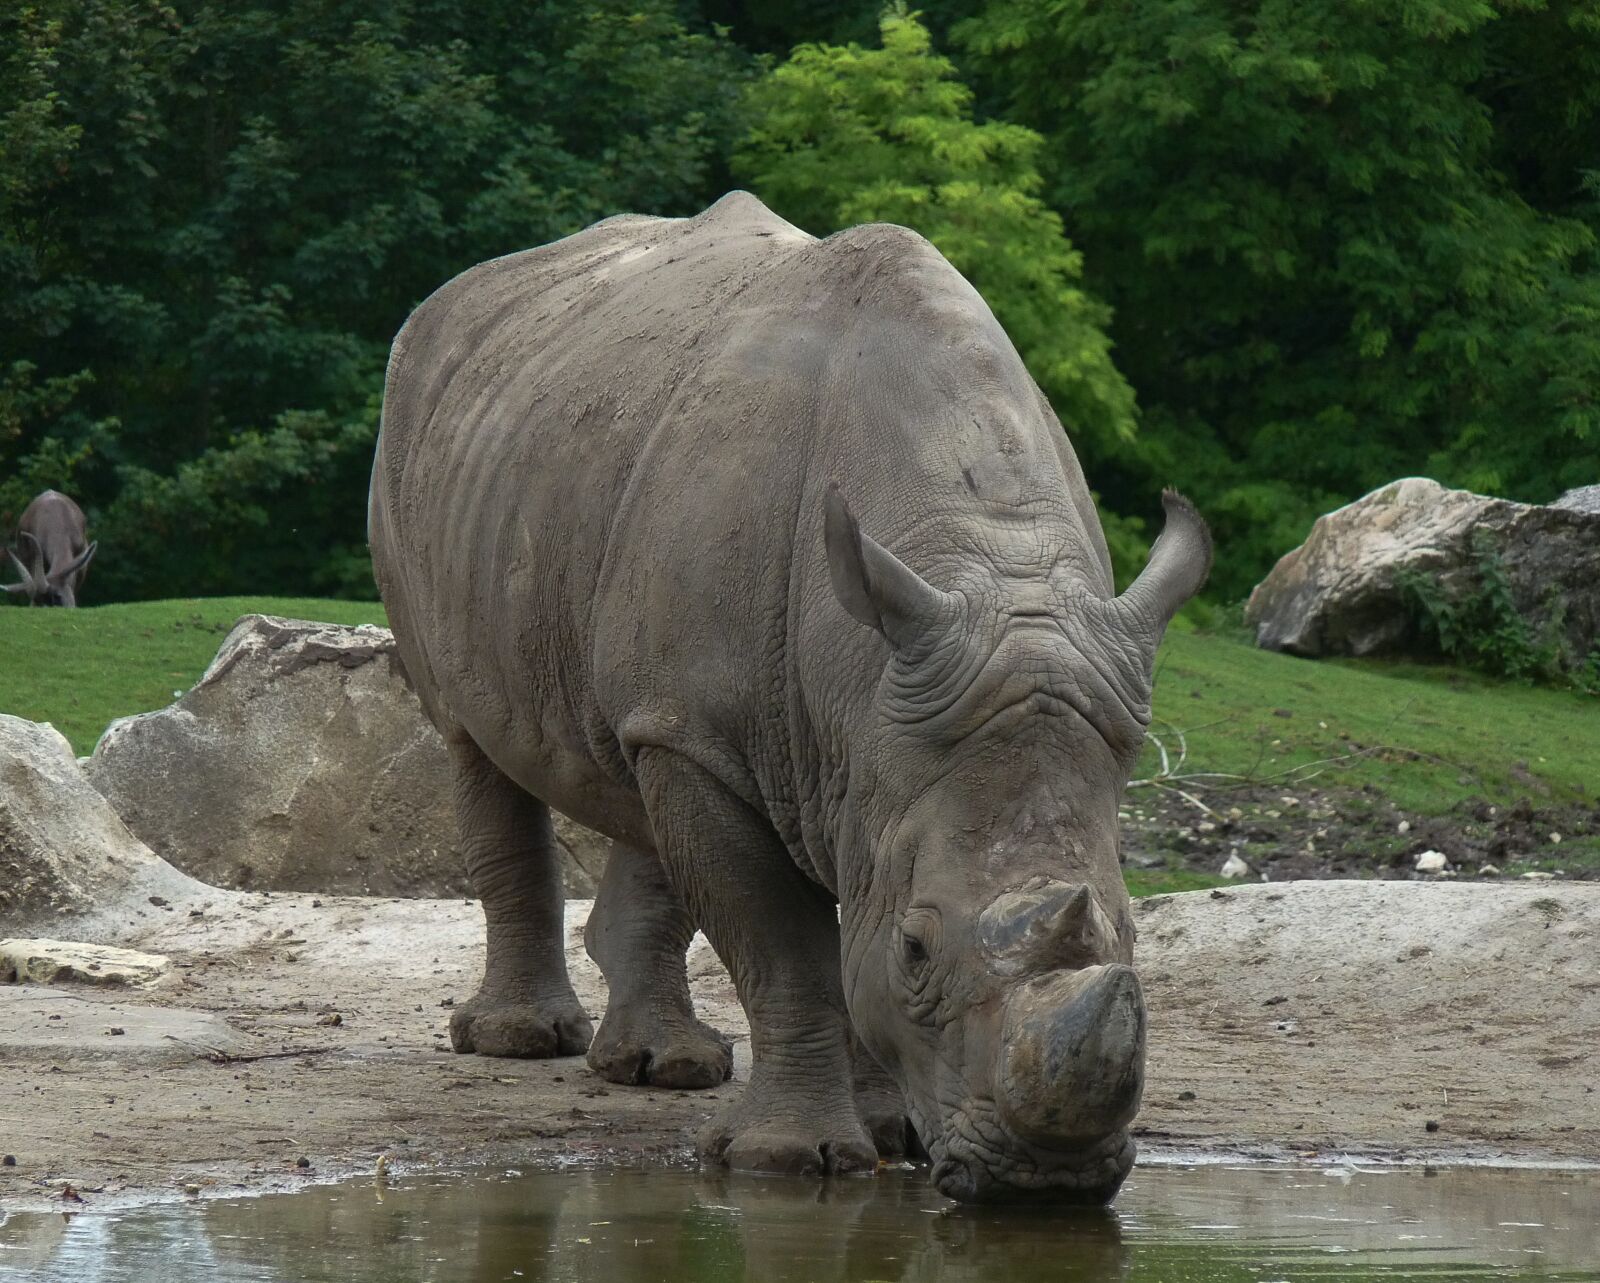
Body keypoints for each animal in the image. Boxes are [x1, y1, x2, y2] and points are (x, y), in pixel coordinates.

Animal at [369, 193, 1209, 1202]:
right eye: (918, 949)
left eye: (1131, 932)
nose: (1050, 1180)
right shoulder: (794, 737)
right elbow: (788, 950)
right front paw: (787, 1159)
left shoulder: (867, 742)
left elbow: (844, 931)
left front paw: (893, 1134)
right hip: (422, 442)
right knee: (473, 740)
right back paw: (521, 1044)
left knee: (636, 763)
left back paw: (664, 1068)